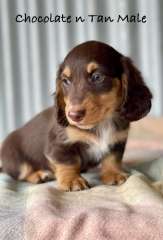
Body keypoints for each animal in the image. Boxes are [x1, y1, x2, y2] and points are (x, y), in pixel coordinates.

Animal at [0, 41, 153, 191]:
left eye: (97, 77)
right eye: (66, 81)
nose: (73, 115)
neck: (101, 123)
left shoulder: (117, 142)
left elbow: (112, 159)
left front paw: (113, 174)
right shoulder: (59, 146)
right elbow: (69, 162)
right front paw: (72, 180)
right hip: (16, 159)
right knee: (22, 173)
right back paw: (39, 175)